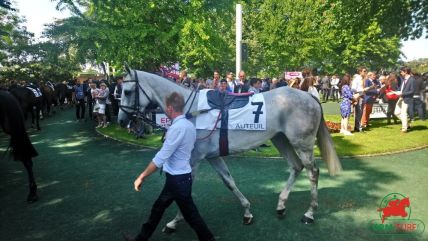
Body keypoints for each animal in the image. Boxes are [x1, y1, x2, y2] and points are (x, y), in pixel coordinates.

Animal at [118, 68, 342, 231]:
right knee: (296, 167)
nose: (121, 120)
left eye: (127, 92)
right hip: (281, 139)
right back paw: (281, 205)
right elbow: (229, 182)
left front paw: (175, 221)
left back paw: (309, 213)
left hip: (302, 143)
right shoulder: (212, 156)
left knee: (313, 172)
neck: (192, 110)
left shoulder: (194, 158)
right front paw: (247, 211)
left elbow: (185, 189)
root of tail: (310, 97)